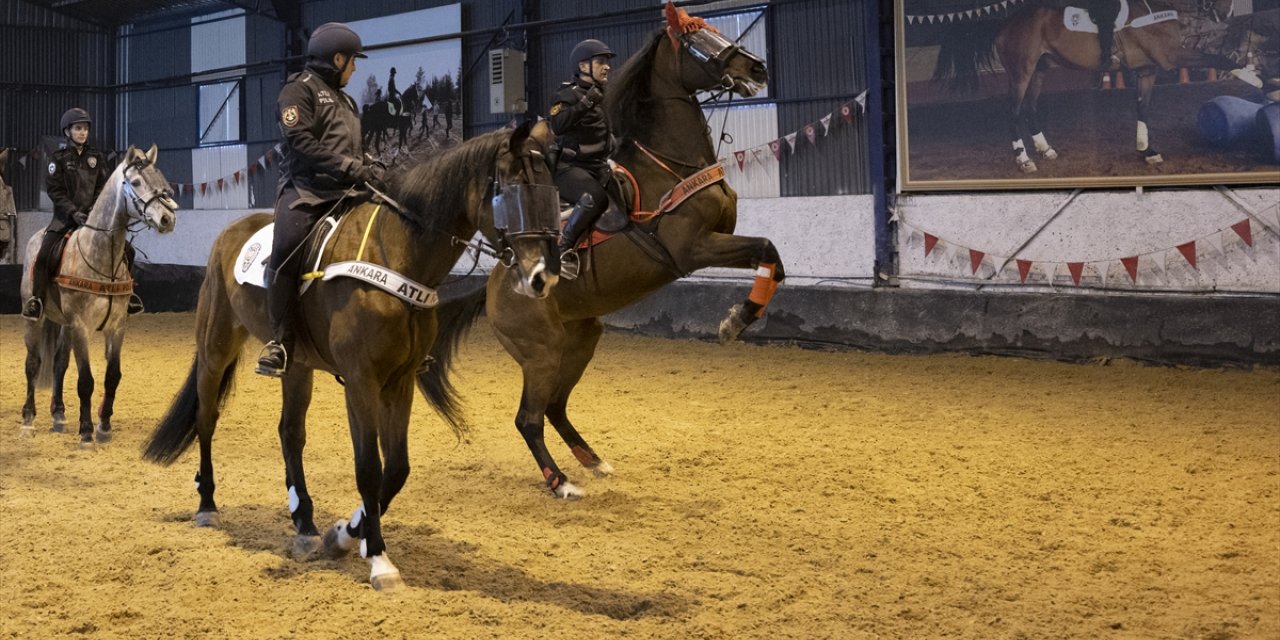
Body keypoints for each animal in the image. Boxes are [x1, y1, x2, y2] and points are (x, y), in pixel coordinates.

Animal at [19, 145, 177, 445]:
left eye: (160, 175)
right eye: (135, 182)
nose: (168, 218)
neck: (101, 258)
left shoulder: (116, 327)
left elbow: (112, 376)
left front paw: (103, 426)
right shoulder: (81, 326)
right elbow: (86, 381)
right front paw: (86, 432)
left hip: (64, 324)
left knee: (59, 364)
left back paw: (59, 415)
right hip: (35, 319)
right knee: (33, 364)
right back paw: (28, 419)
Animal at [142, 119, 558, 588]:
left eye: (552, 192)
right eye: (512, 191)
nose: (542, 276)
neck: (397, 253)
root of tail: (231, 231)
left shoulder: (399, 382)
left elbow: (396, 469)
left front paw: (342, 534)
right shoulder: (361, 381)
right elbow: (369, 468)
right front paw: (377, 558)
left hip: (297, 365)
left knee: (290, 432)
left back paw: (304, 524)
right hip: (215, 346)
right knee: (207, 419)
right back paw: (208, 506)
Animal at [440, 2, 778, 496]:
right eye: (698, 39)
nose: (757, 68)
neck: (671, 165)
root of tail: (494, 287)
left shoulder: (721, 240)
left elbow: (771, 256)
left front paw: (739, 317)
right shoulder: (692, 250)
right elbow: (768, 249)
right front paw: (734, 322)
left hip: (581, 340)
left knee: (554, 408)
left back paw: (593, 461)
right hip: (540, 352)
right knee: (528, 419)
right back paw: (560, 482)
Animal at [931, 0, 1249, 172]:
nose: (1227, 12)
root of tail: (1005, 23)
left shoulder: (1148, 70)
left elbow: (1143, 109)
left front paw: (1146, 150)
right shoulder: (1171, 58)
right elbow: (1216, 57)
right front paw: (1249, 72)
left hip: (1039, 71)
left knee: (1031, 108)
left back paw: (1046, 150)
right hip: (1021, 73)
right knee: (1013, 112)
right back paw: (1024, 161)